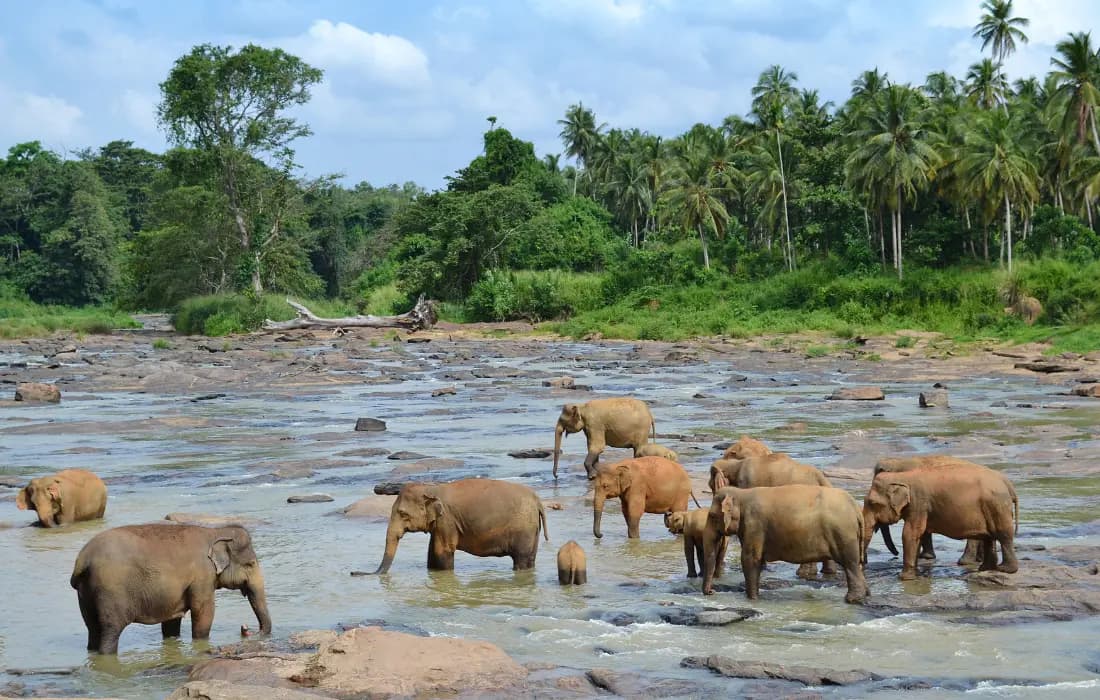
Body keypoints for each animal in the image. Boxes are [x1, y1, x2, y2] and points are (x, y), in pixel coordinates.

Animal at [70, 523, 271, 654]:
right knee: (110, 630)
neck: (215, 532)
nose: (246, 629)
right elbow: (203, 611)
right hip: (110, 591)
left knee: (93, 629)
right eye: (250, 564)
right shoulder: (202, 576)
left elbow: (172, 621)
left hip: (85, 593)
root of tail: (83, 559)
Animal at [371, 479, 548, 573]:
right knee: (530, 558)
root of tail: (537, 500)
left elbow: (442, 551)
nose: (363, 573)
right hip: (532, 529)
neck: (431, 488)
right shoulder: (440, 524)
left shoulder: (447, 521)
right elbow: (432, 552)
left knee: (521, 559)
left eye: (402, 513)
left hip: (523, 528)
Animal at [702, 485, 868, 603]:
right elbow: (756, 559)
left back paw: (852, 599)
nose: (711, 592)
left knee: (850, 564)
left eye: (712, 516)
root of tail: (856, 509)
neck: (741, 493)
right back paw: (865, 595)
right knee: (856, 563)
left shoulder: (754, 525)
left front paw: (752, 599)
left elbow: (750, 558)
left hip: (843, 533)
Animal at [862, 464, 1019, 580]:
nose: (896, 554)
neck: (902, 476)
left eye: (873, 503)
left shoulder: (919, 503)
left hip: (997, 505)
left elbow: (910, 533)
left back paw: (1005, 569)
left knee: (1004, 535)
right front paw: (915, 575)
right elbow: (919, 534)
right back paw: (985, 569)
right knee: (989, 537)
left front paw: (903, 578)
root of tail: (1007, 483)